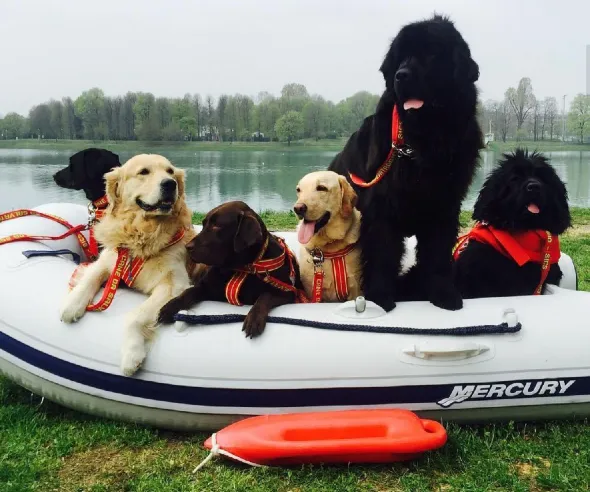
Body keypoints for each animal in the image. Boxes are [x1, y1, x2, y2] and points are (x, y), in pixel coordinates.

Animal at [328, 15, 486, 312]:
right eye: (401, 57)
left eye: (432, 54)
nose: (401, 75)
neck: (425, 142)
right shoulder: (381, 207)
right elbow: (382, 253)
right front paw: (379, 297)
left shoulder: (445, 205)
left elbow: (438, 254)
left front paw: (443, 293)